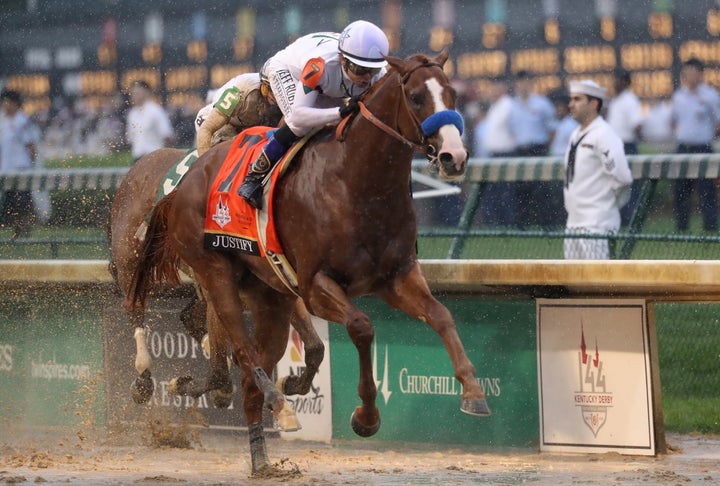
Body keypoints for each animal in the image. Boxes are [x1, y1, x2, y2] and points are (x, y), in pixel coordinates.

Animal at [128, 51, 490, 472]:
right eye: (416, 97)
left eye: (452, 95)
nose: (454, 157)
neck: (356, 183)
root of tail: (182, 184)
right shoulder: (316, 285)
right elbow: (362, 327)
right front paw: (366, 416)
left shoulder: (397, 277)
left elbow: (442, 316)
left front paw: (473, 391)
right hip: (215, 273)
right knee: (242, 351)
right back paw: (271, 397)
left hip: (269, 295)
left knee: (251, 376)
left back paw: (262, 459)